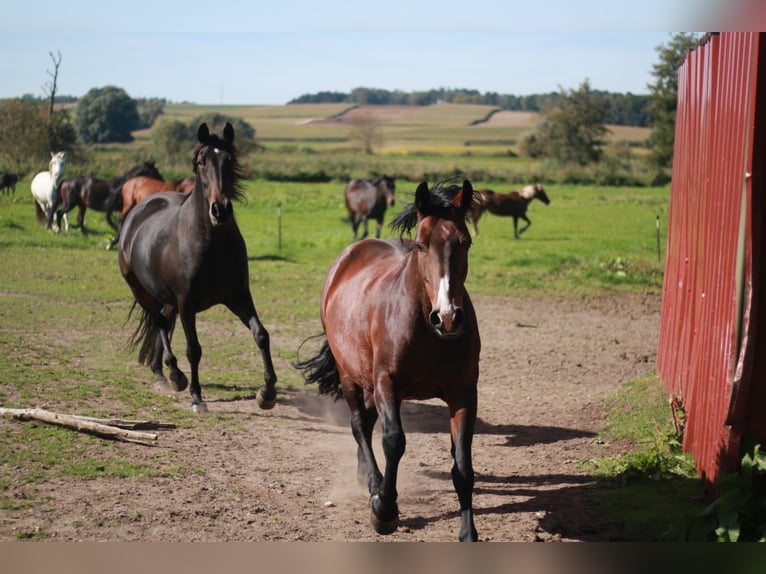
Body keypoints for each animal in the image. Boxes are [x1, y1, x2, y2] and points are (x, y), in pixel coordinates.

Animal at [118, 124, 278, 416]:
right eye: (201, 162)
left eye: (229, 160)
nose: (220, 209)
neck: (209, 244)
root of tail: (138, 210)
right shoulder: (187, 304)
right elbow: (194, 349)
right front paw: (196, 397)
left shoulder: (239, 296)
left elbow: (261, 334)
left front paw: (267, 393)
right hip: (141, 291)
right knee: (159, 322)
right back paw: (173, 375)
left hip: (169, 299)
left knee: (163, 320)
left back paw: (164, 373)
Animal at [296, 180, 484, 544]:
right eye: (421, 245)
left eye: (465, 242)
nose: (448, 317)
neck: (427, 331)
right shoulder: (387, 383)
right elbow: (394, 441)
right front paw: (384, 510)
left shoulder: (464, 393)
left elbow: (463, 463)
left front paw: (468, 532)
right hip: (351, 376)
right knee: (359, 425)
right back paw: (372, 483)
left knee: (367, 423)